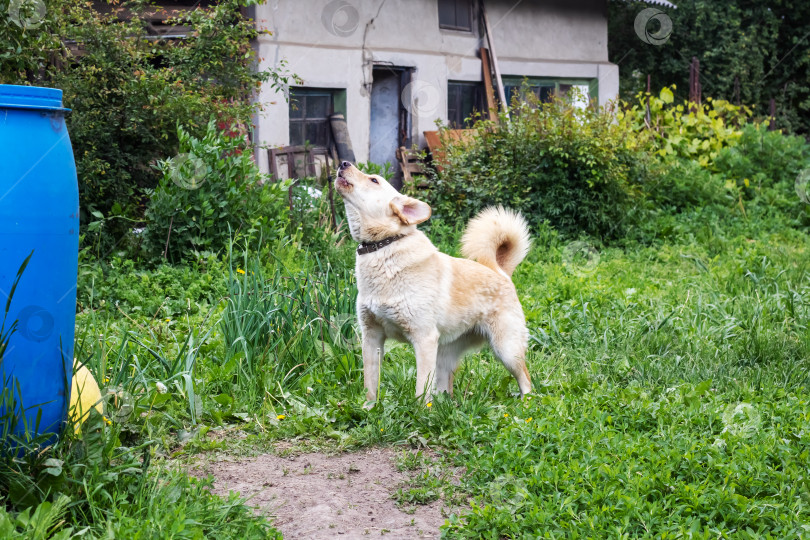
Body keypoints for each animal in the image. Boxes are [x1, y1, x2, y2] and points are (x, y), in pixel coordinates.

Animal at [334, 160, 532, 400]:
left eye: (374, 180)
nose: (344, 163)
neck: (383, 247)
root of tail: (500, 272)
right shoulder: (372, 337)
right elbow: (370, 386)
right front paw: (369, 408)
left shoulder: (424, 339)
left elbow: (421, 390)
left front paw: (417, 411)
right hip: (444, 356)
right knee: (445, 389)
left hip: (507, 350)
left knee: (526, 379)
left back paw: (527, 403)